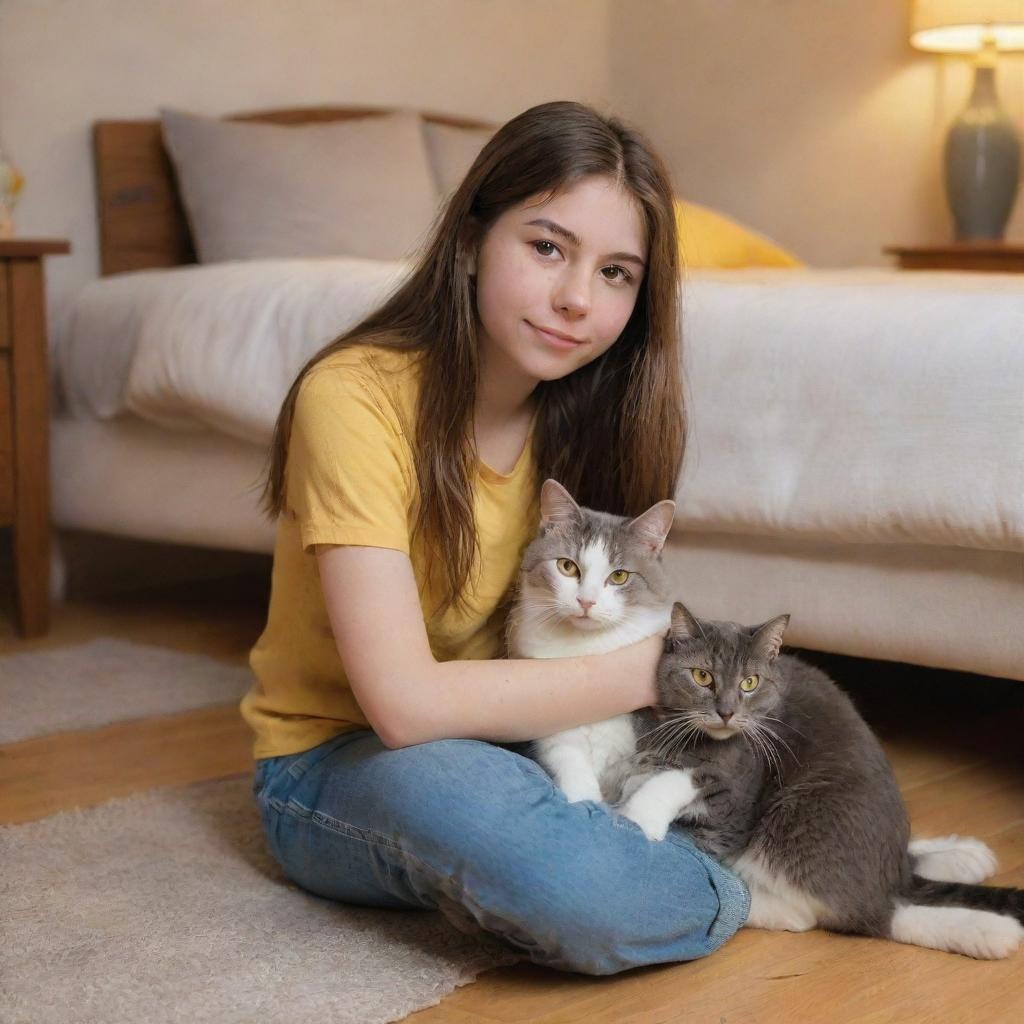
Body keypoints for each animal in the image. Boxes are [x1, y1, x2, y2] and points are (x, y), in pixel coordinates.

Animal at [622, 598, 1024, 958]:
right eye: (702, 676)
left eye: (749, 683)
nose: (727, 711)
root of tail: (888, 879)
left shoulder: (732, 807)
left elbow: (681, 782)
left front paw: (638, 816)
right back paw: (965, 858)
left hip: (798, 817)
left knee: (844, 914)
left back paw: (986, 929)